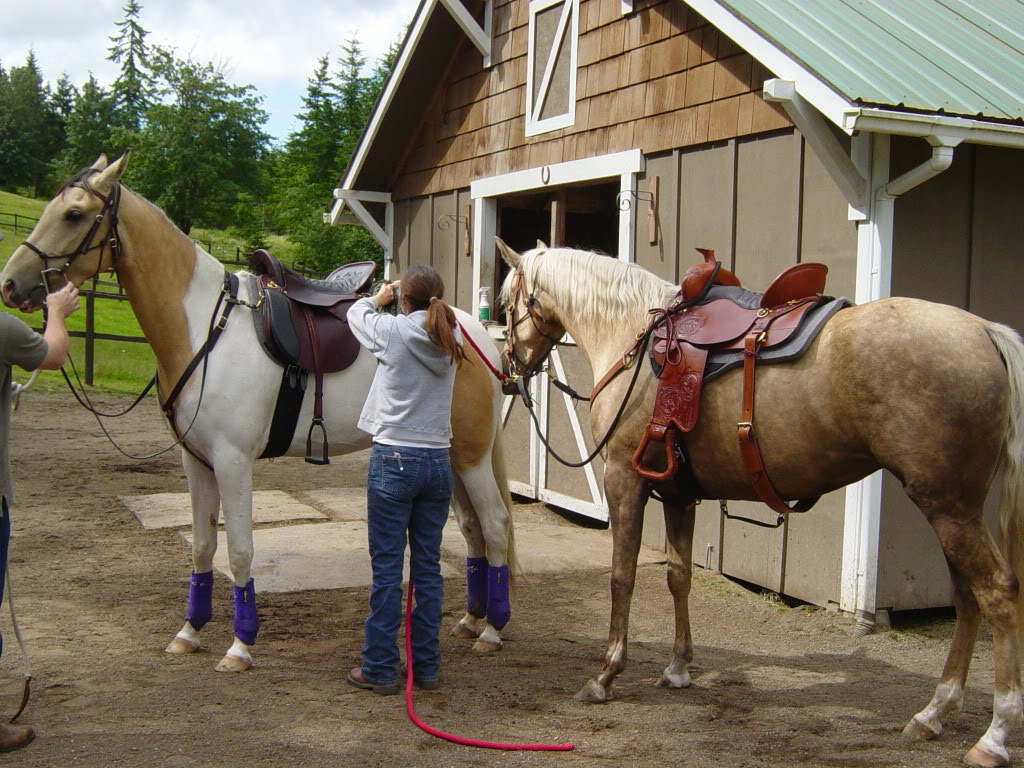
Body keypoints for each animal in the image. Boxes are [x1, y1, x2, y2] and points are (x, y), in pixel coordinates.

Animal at [0, 153, 518, 673]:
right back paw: (471, 619)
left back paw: (493, 631)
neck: (205, 328)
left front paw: (240, 645)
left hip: (471, 456)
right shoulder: (197, 462)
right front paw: (189, 632)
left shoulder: (233, 462)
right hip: (451, 458)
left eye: (74, 214)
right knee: (473, 531)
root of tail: (471, 332)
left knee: (495, 525)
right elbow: (202, 548)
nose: (10, 284)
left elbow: (240, 551)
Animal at [496, 239, 1024, 768]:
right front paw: (677, 668)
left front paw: (605, 675)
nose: (508, 369)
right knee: (966, 598)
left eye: (505, 304)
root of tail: (983, 330)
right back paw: (933, 713)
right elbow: (679, 577)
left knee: (997, 593)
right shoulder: (678, 494)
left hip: (949, 509)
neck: (634, 340)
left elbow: (621, 578)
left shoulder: (625, 480)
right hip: (953, 509)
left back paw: (994, 735)